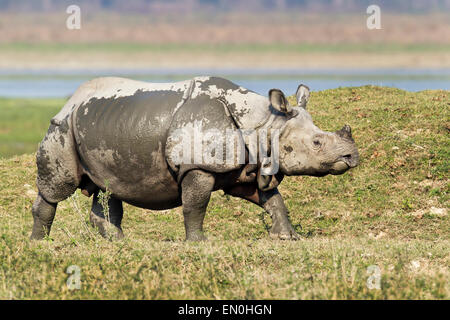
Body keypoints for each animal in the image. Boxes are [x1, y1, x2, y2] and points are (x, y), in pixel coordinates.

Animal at [30, 77, 358, 240]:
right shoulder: (198, 165)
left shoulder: (249, 165)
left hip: (99, 128)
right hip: (63, 127)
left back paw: (118, 241)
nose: (352, 156)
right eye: (316, 143)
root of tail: (70, 101)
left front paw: (287, 237)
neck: (264, 123)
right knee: (58, 188)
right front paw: (198, 242)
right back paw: (40, 242)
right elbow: (195, 204)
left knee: (108, 189)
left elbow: (273, 200)